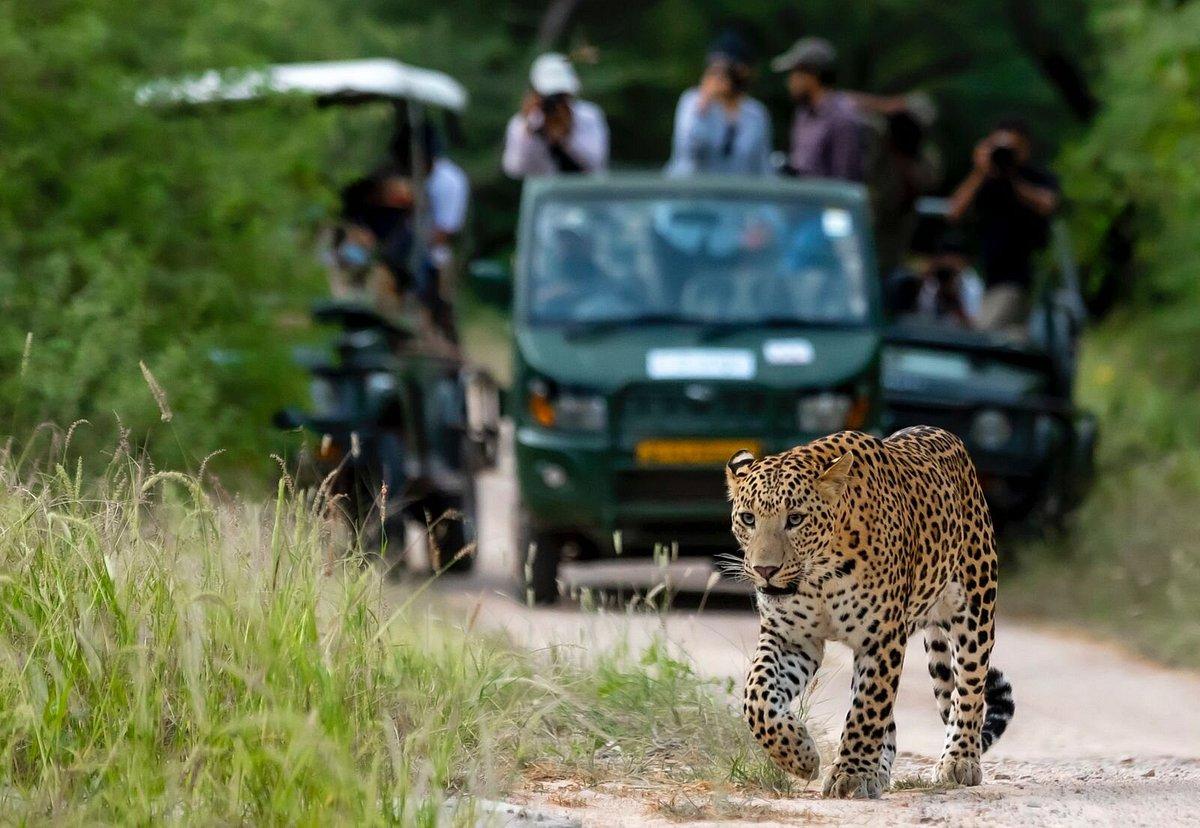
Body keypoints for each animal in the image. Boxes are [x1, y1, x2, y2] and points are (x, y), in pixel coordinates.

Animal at [725, 426, 1014, 799]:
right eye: (748, 519)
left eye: (795, 519)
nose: (765, 570)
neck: (820, 576)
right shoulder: (791, 638)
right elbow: (757, 697)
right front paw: (799, 755)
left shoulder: (881, 638)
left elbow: (867, 708)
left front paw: (850, 775)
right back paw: (878, 772)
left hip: (974, 610)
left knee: (969, 690)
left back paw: (959, 760)